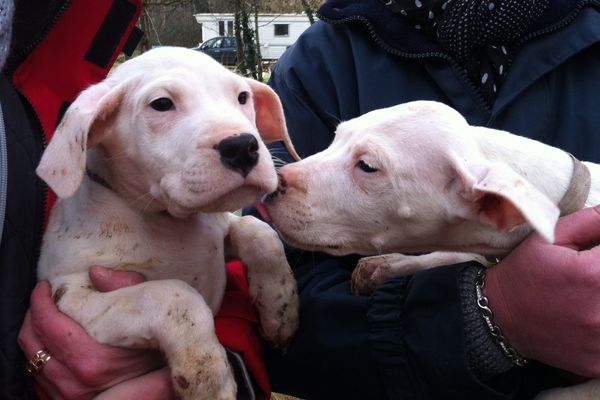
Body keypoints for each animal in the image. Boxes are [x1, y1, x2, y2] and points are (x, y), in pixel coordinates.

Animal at [36, 45, 298, 398]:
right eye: (161, 104)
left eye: (242, 96)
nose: (242, 146)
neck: (166, 221)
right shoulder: (71, 295)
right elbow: (172, 294)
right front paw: (209, 379)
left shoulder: (221, 229)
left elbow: (260, 232)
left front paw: (280, 309)